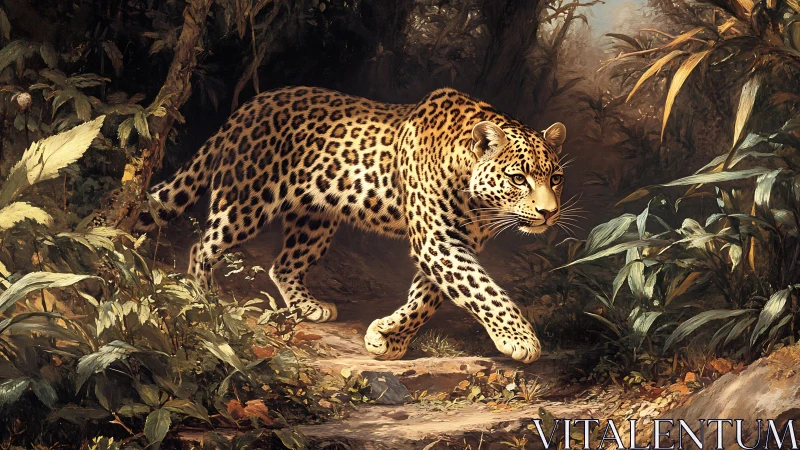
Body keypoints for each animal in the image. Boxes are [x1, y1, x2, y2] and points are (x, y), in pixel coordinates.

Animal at [136, 86, 569, 363]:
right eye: (518, 178)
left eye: (556, 178)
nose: (549, 212)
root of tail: (247, 107)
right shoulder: (439, 241)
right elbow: (485, 291)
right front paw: (520, 339)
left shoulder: (451, 244)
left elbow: (427, 299)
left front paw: (388, 337)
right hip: (244, 201)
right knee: (202, 246)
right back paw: (203, 299)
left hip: (314, 219)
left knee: (283, 265)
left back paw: (309, 306)